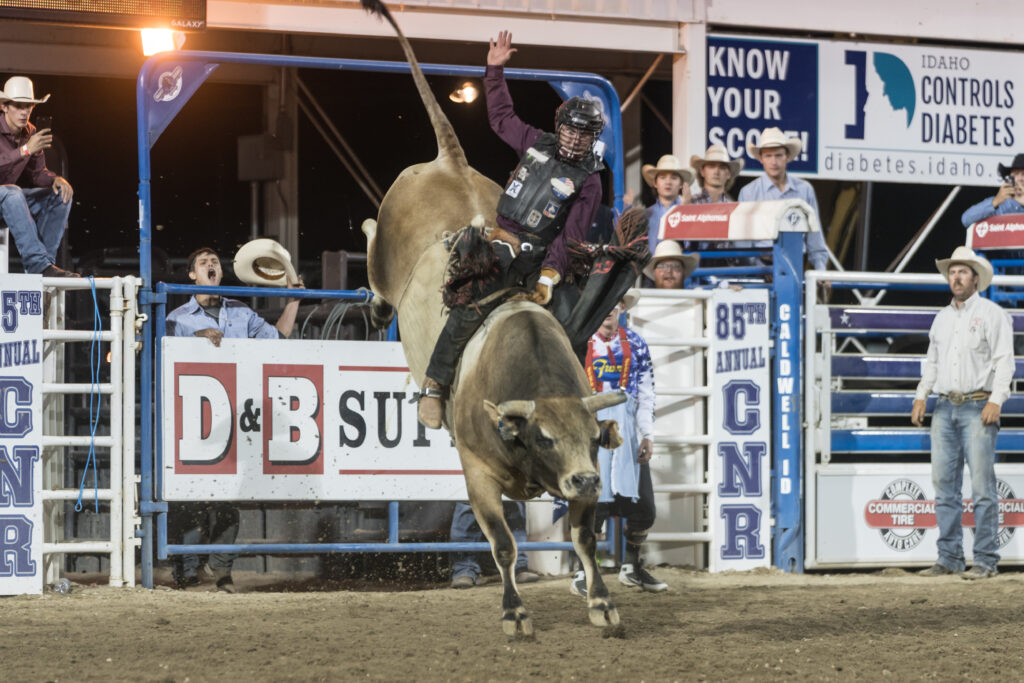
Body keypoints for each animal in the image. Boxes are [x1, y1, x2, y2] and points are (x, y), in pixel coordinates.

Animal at [360, 0, 627, 636]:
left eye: (592, 439)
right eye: (545, 436)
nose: (586, 478)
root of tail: (447, 160)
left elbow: (584, 538)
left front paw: (601, 602)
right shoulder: (477, 471)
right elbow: (503, 545)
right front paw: (514, 612)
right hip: (385, 246)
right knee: (372, 249)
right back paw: (376, 301)